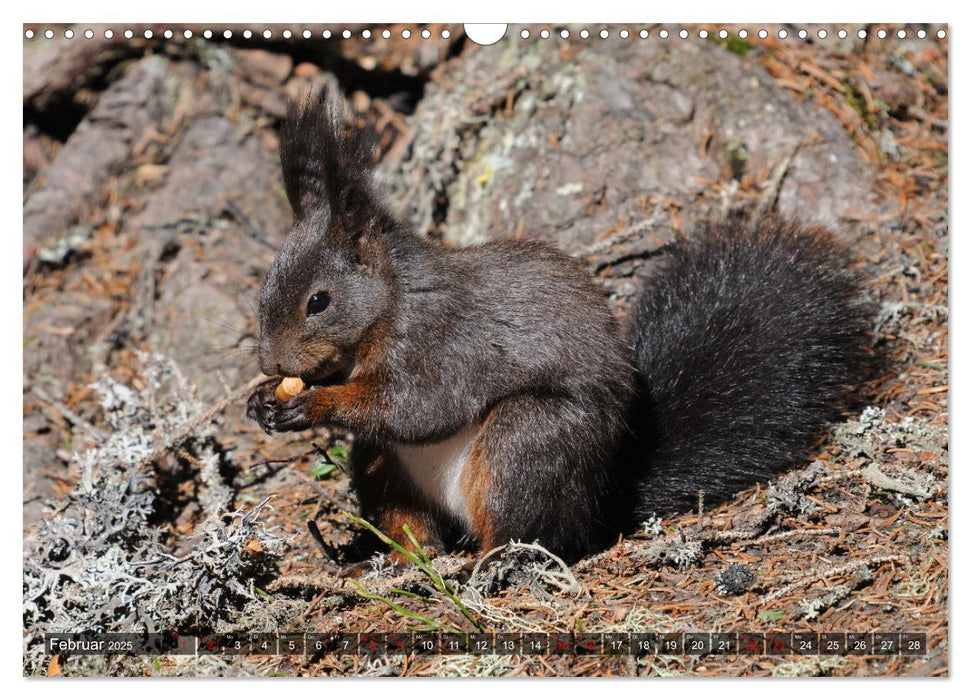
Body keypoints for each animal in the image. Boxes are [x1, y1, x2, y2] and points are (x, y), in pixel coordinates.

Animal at [249, 94, 872, 564]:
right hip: (387, 473)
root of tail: (598, 504)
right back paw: (403, 565)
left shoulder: (443, 340)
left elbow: (417, 406)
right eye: (263, 287)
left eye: (318, 302)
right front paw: (261, 401)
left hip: (525, 444)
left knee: (526, 532)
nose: (270, 363)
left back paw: (487, 565)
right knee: (413, 524)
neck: (391, 303)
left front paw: (315, 404)